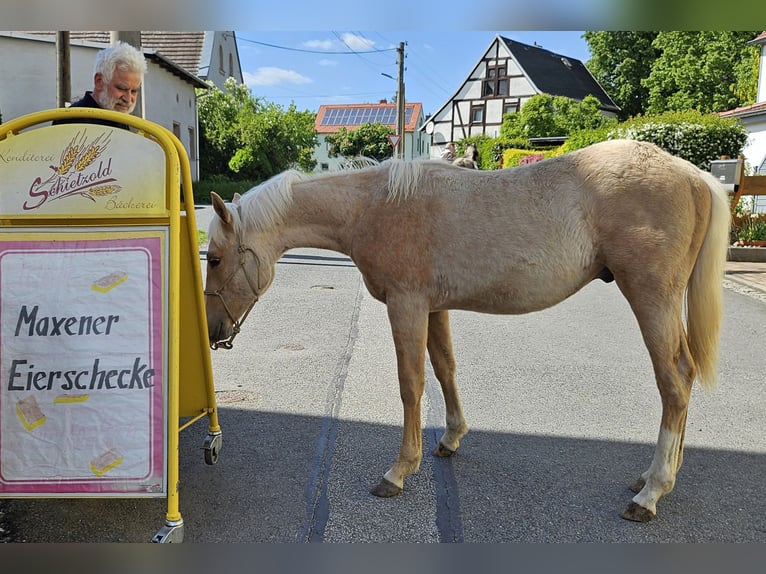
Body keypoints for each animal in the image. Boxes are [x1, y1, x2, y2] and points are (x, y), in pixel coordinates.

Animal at [203, 139, 730, 522]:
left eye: (214, 258)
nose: (214, 332)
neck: (374, 206)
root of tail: (692, 175)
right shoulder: (433, 309)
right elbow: (444, 370)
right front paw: (450, 439)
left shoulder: (407, 306)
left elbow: (411, 384)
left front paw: (399, 471)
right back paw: (654, 477)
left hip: (651, 298)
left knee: (674, 381)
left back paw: (652, 492)